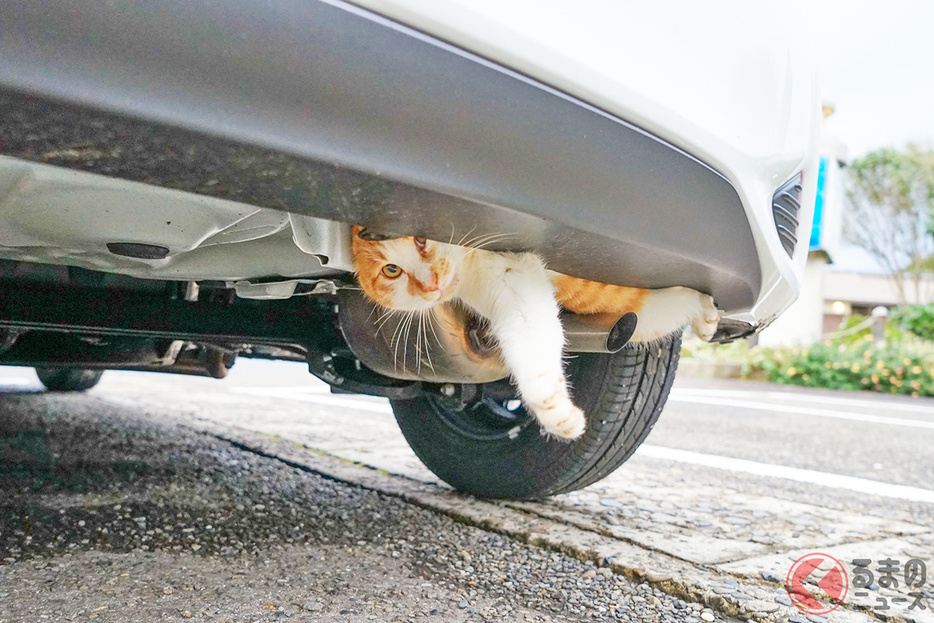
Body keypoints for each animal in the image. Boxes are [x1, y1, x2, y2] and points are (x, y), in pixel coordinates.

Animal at [352, 228, 724, 438]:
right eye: (391, 270)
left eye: (420, 239)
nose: (430, 284)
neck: (469, 268)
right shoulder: (511, 292)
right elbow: (531, 348)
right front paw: (554, 412)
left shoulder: (516, 270)